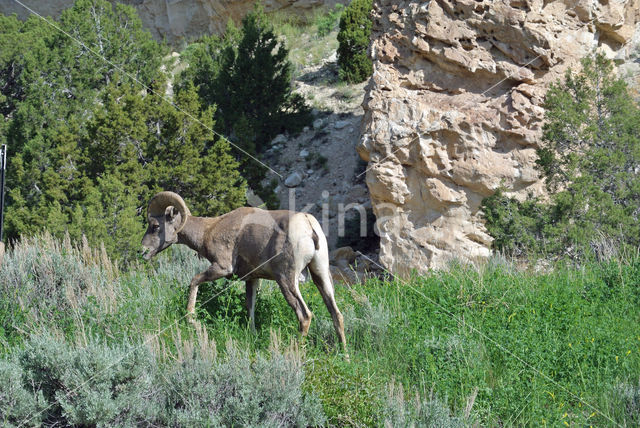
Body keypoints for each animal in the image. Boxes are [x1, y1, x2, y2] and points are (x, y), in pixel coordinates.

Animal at [142, 192, 348, 352]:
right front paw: (253, 335)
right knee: (336, 314)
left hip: (286, 280)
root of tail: (308, 224)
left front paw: (191, 318)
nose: (142, 251)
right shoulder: (252, 279)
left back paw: (298, 350)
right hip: (321, 275)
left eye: (155, 226)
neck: (209, 230)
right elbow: (250, 307)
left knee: (304, 315)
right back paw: (344, 354)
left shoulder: (221, 268)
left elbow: (194, 281)